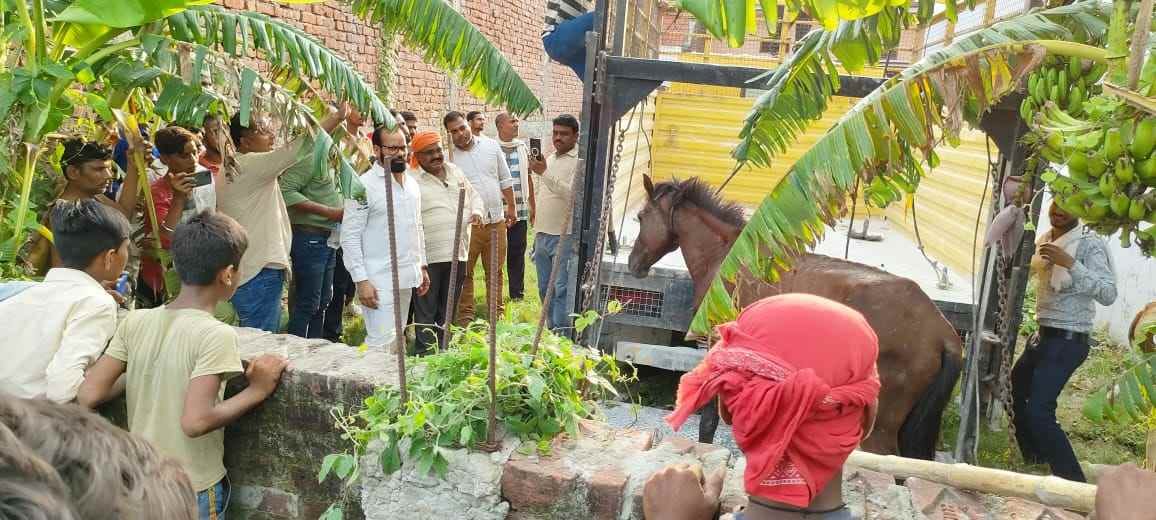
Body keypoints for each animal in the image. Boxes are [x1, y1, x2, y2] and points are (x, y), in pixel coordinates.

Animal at [627, 175, 963, 459]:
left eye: (641, 217)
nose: (633, 264)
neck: (727, 258)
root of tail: (941, 331)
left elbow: (709, 420)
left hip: (881, 426)